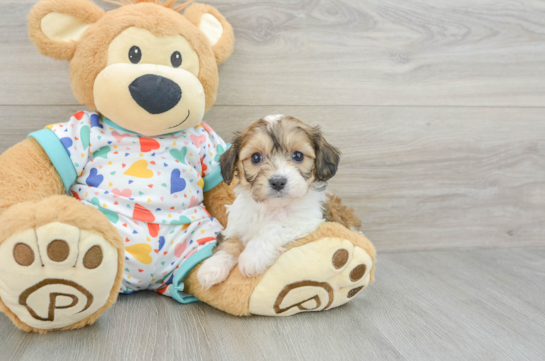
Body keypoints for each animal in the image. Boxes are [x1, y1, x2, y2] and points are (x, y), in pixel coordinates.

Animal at [196, 114, 340, 288]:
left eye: (298, 155)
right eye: (256, 157)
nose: (278, 182)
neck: (270, 207)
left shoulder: (305, 221)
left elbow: (274, 228)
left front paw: (253, 257)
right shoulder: (236, 224)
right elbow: (229, 242)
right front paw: (212, 268)